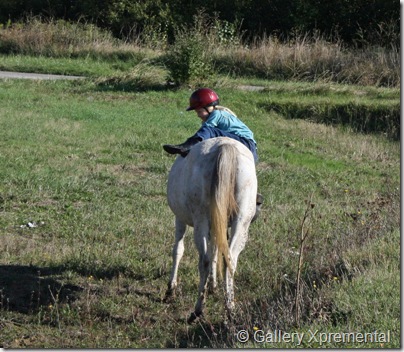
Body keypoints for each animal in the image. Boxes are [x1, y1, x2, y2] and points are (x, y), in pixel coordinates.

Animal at [164, 137, 258, 322]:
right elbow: (216, 251)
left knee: (204, 261)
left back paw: (198, 310)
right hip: (241, 220)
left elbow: (178, 250)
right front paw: (213, 285)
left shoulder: (180, 219)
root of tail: (225, 146)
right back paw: (230, 308)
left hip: (200, 220)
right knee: (230, 259)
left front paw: (171, 288)